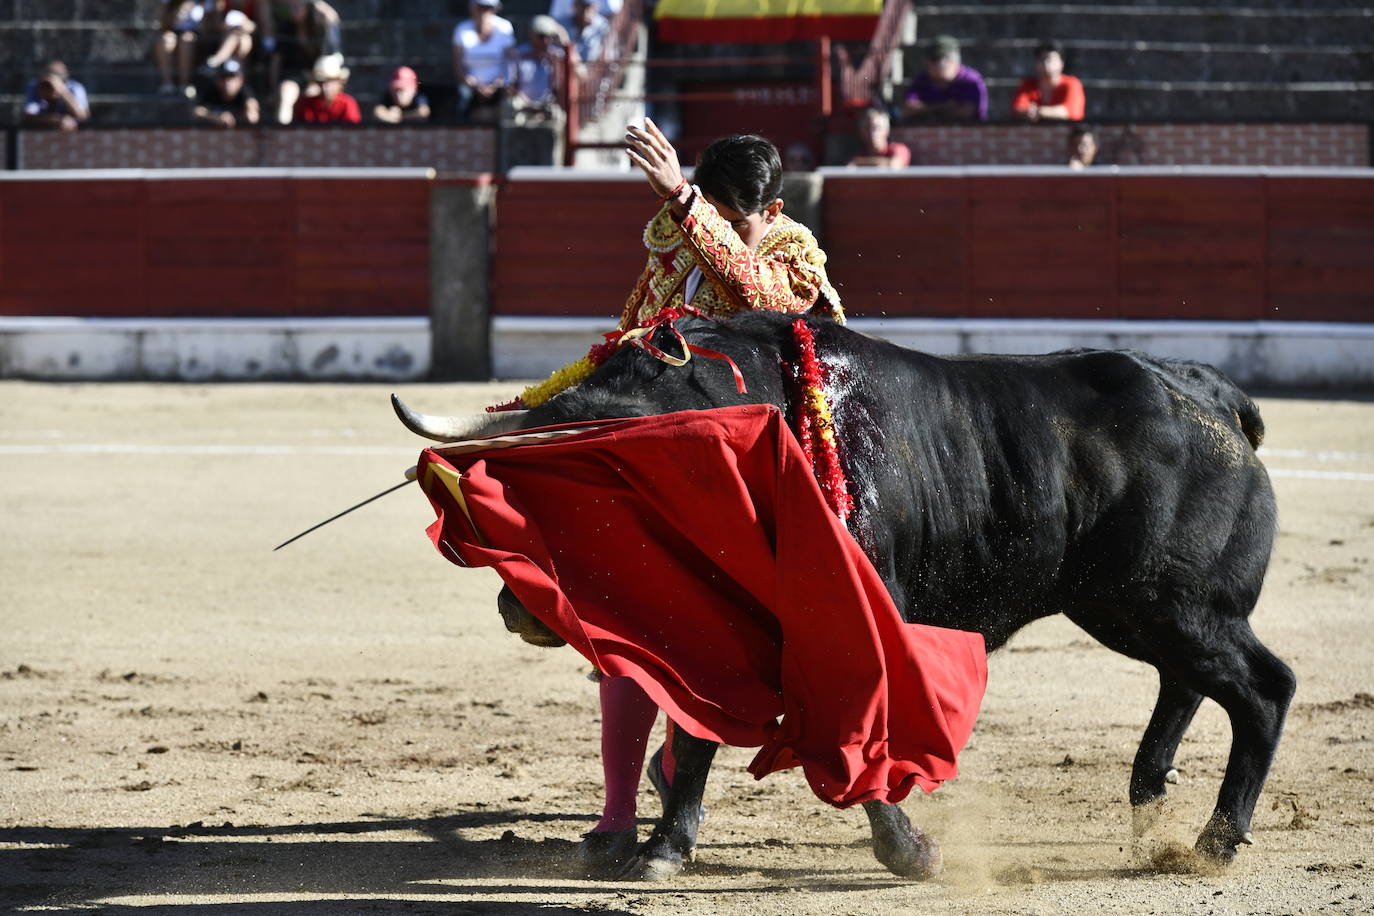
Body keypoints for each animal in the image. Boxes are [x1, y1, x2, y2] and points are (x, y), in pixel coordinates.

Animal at [486, 313, 1297, 878]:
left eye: (589, 498)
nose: (517, 609)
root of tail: (1203, 390)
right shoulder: (718, 635)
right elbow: (694, 739)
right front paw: (663, 847)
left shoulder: (853, 633)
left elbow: (857, 740)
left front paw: (912, 853)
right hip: (1137, 608)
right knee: (1186, 682)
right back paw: (1152, 806)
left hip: (1170, 605)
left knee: (1263, 687)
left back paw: (1214, 843)